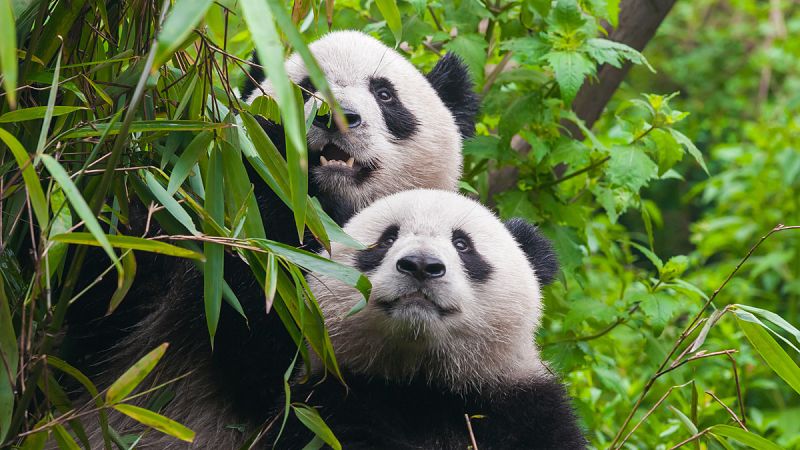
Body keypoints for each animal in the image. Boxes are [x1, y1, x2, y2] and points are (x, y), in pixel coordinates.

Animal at [276, 188, 588, 448]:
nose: (421, 265)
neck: (425, 381)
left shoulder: (526, 409)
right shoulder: (327, 402)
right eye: (387, 239)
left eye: (462, 244)